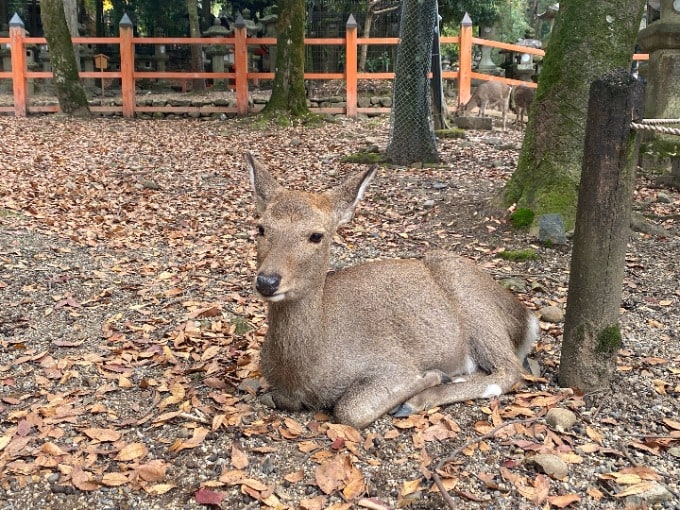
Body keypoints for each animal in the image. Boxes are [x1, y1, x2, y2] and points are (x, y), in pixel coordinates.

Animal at [247, 153, 540, 428]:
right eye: (260, 228)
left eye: (316, 235)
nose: (267, 281)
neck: (302, 374)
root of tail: (526, 319)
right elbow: (276, 397)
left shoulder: (393, 363)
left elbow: (349, 411)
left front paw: (431, 376)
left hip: (473, 302)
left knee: (510, 369)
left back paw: (420, 397)